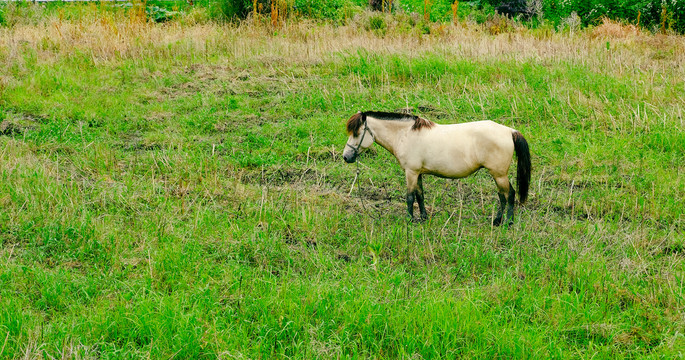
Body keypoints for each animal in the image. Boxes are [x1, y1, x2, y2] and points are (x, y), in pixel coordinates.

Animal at [342, 111, 528, 226]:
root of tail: (510, 131)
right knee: (502, 195)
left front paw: (409, 219)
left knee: (509, 194)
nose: (346, 157)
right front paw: (423, 218)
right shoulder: (418, 173)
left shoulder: (410, 172)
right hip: (497, 175)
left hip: (499, 174)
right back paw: (497, 221)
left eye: (357, 133)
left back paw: (508, 222)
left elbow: (410, 197)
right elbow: (420, 196)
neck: (405, 135)